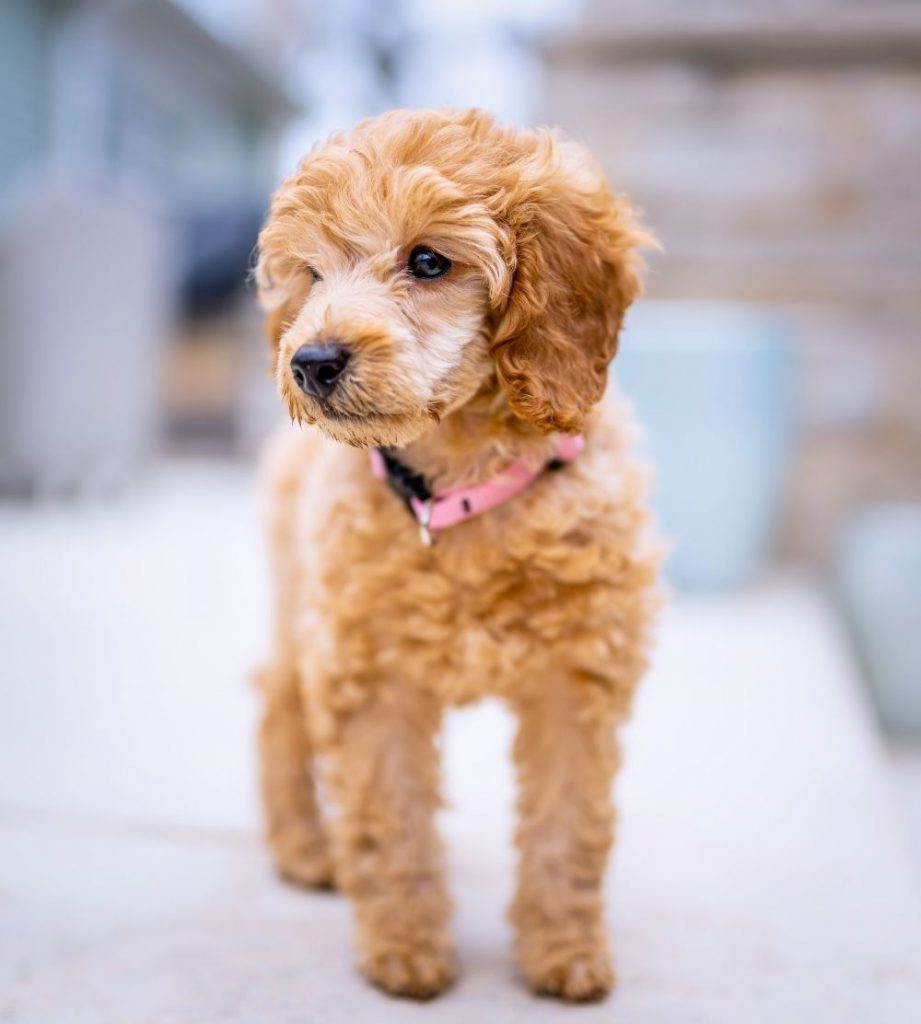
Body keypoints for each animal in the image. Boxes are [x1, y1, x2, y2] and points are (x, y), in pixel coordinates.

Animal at [256, 108, 659, 1003]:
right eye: (312, 272)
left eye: (428, 261)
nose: (309, 361)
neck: (462, 487)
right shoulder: (370, 675)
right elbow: (390, 820)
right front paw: (404, 949)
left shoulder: (577, 680)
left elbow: (569, 825)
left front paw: (564, 951)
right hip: (304, 608)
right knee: (279, 706)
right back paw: (304, 847)